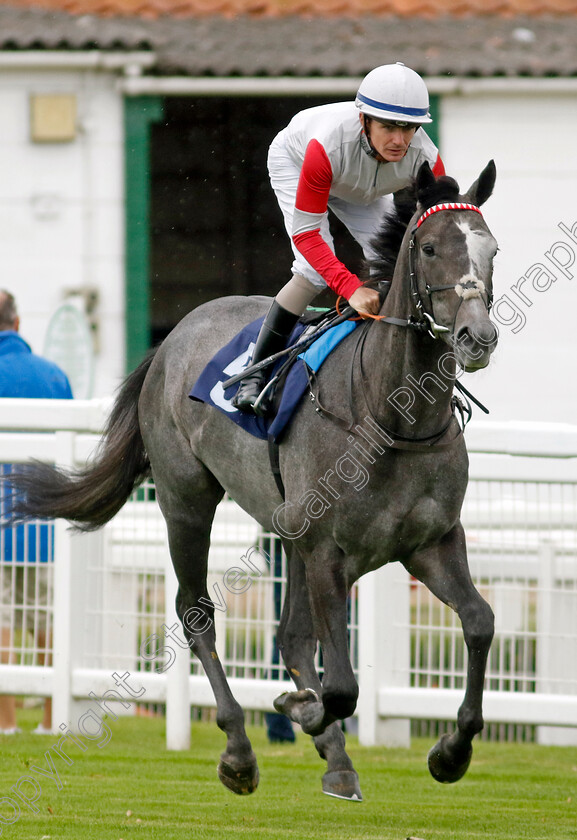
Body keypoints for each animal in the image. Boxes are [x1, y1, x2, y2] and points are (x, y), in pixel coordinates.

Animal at [4, 159, 498, 800]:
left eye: (492, 249)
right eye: (432, 247)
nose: (477, 337)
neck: (391, 415)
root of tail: (174, 335)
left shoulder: (430, 544)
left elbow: (479, 623)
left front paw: (450, 752)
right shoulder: (327, 551)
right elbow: (341, 685)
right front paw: (300, 707)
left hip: (284, 532)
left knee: (292, 637)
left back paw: (337, 761)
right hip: (187, 502)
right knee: (197, 614)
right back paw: (239, 750)